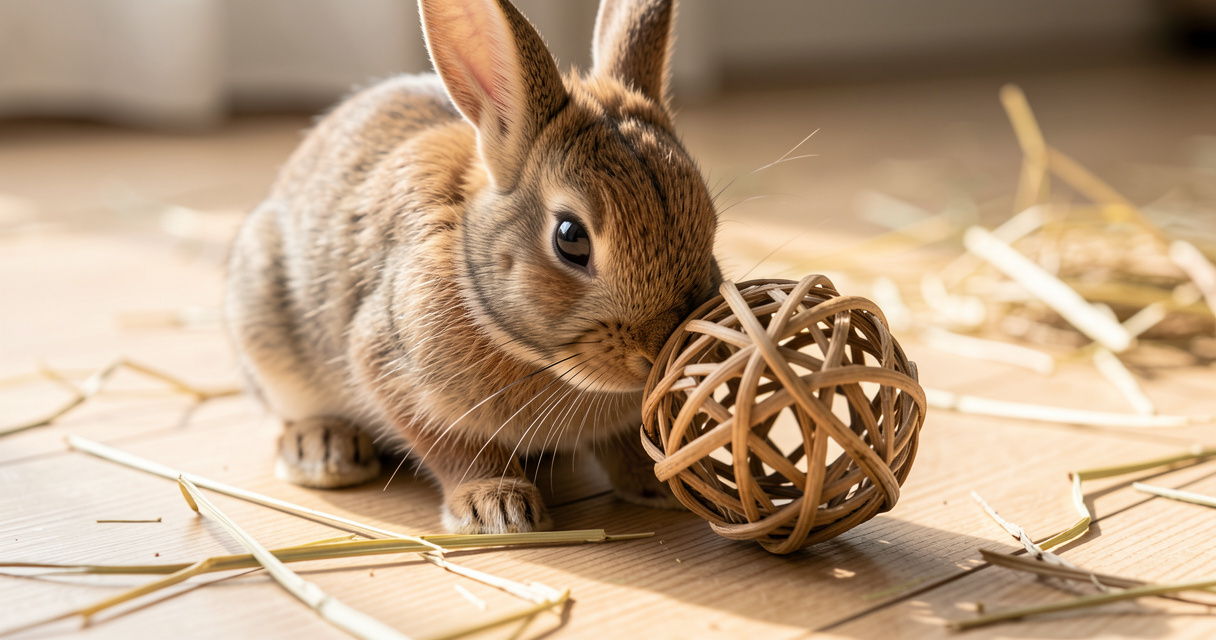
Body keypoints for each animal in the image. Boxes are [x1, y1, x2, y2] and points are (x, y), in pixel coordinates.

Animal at [224, 0, 722, 534]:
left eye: (710, 222)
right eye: (570, 238)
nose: (657, 351)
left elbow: (624, 442)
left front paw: (660, 484)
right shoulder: (391, 368)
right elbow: (452, 447)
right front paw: (497, 508)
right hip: (264, 327)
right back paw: (323, 451)